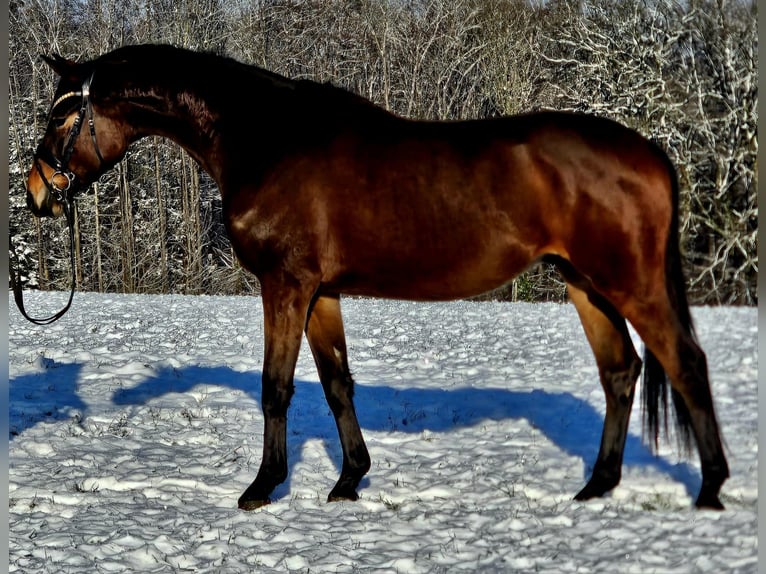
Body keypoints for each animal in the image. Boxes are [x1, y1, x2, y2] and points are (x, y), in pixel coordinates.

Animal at [25, 44, 728, 510]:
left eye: (61, 117)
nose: (36, 194)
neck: (265, 139)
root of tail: (648, 152)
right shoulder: (322, 292)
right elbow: (338, 384)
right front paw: (348, 480)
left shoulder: (285, 285)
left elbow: (276, 387)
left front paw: (261, 488)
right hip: (586, 284)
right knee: (621, 372)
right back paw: (597, 486)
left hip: (631, 283)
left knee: (686, 363)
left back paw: (710, 488)